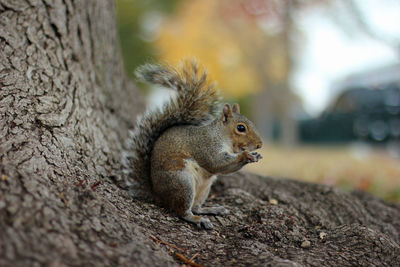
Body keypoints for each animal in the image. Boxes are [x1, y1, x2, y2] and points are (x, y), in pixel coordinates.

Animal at [124, 60, 262, 230]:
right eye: (241, 128)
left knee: (196, 207)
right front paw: (246, 155)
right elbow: (216, 163)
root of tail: (157, 194)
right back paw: (197, 219)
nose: (259, 145)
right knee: (182, 211)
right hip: (182, 183)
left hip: (203, 189)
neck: (222, 136)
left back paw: (211, 209)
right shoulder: (206, 145)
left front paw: (254, 156)